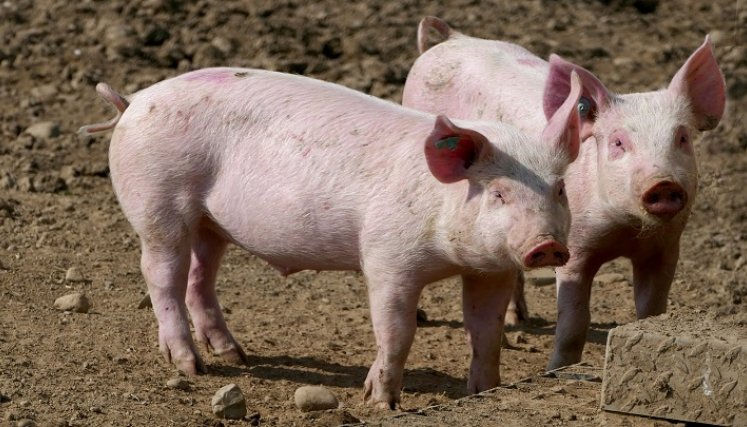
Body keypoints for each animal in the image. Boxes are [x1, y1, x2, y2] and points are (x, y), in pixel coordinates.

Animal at [80, 67, 584, 408]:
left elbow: (486, 331)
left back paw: (236, 356)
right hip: (158, 202)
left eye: (559, 189)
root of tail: (134, 101)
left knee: (199, 277)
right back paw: (191, 365)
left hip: (210, 222)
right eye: (499, 193)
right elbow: (396, 330)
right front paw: (380, 402)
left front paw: (483, 392)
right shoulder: (386, 257)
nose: (546, 245)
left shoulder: (490, 270)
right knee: (161, 274)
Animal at [402, 17, 726, 369]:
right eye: (618, 142)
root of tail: (452, 39)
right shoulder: (576, 247)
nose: (663, 183)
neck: (627, 230)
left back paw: (519, 320)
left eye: (682, 138)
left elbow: (651, 311)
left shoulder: (665, 248)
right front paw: (557, 369)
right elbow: (573, 321)